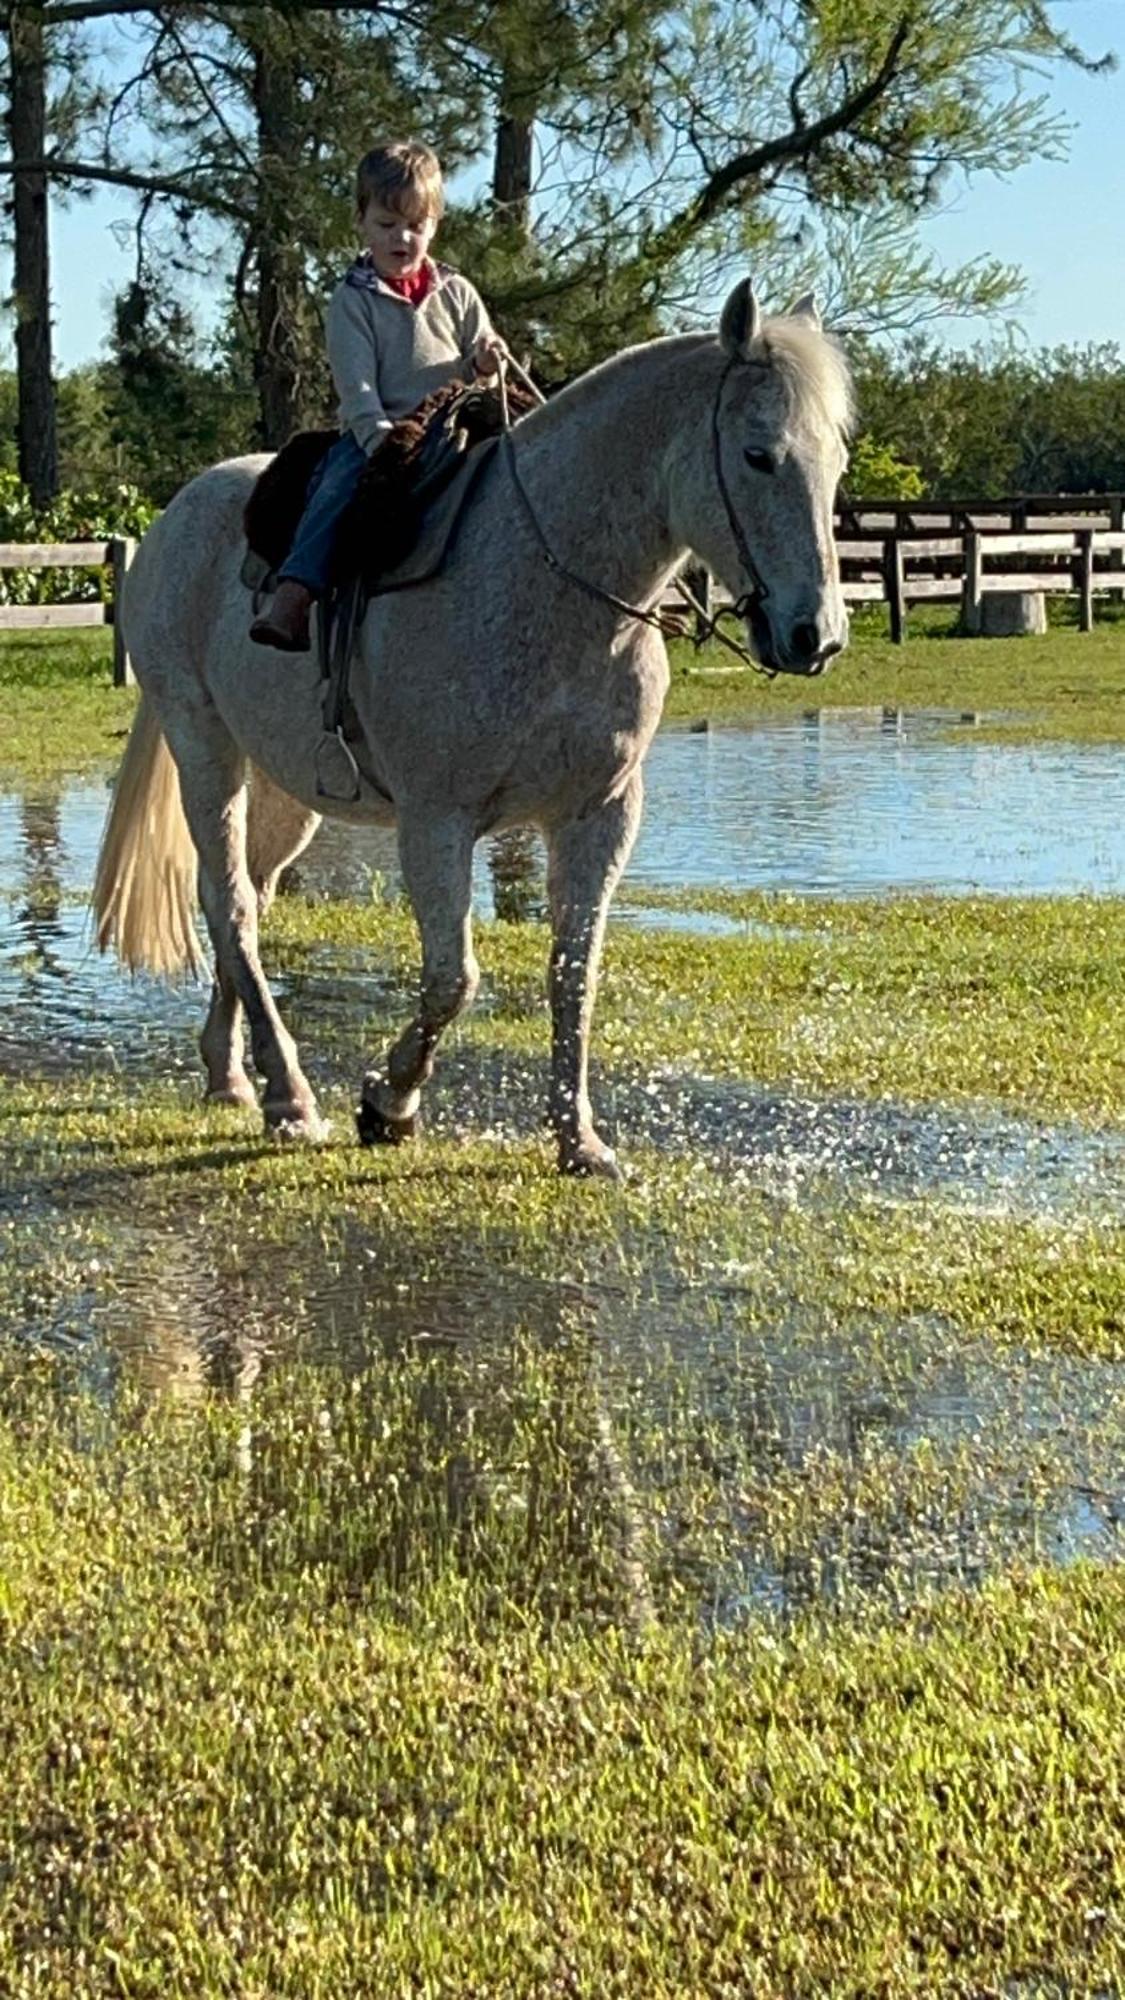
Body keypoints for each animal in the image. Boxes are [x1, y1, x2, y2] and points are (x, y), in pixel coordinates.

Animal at [94, 278, 848, 1168]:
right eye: (758, 455)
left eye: (835, 462)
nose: (815, 635)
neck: (550, 578)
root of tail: (177, 516)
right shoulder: (436, 821)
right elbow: (454, 977)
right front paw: (388, 1104)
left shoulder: (600, 813)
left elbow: (573, 972)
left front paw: (577, 1139)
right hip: (205, 746)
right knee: (230, 903)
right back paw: (289, 1095)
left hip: (286, 786)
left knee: (249, 894)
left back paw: (230, 1073)